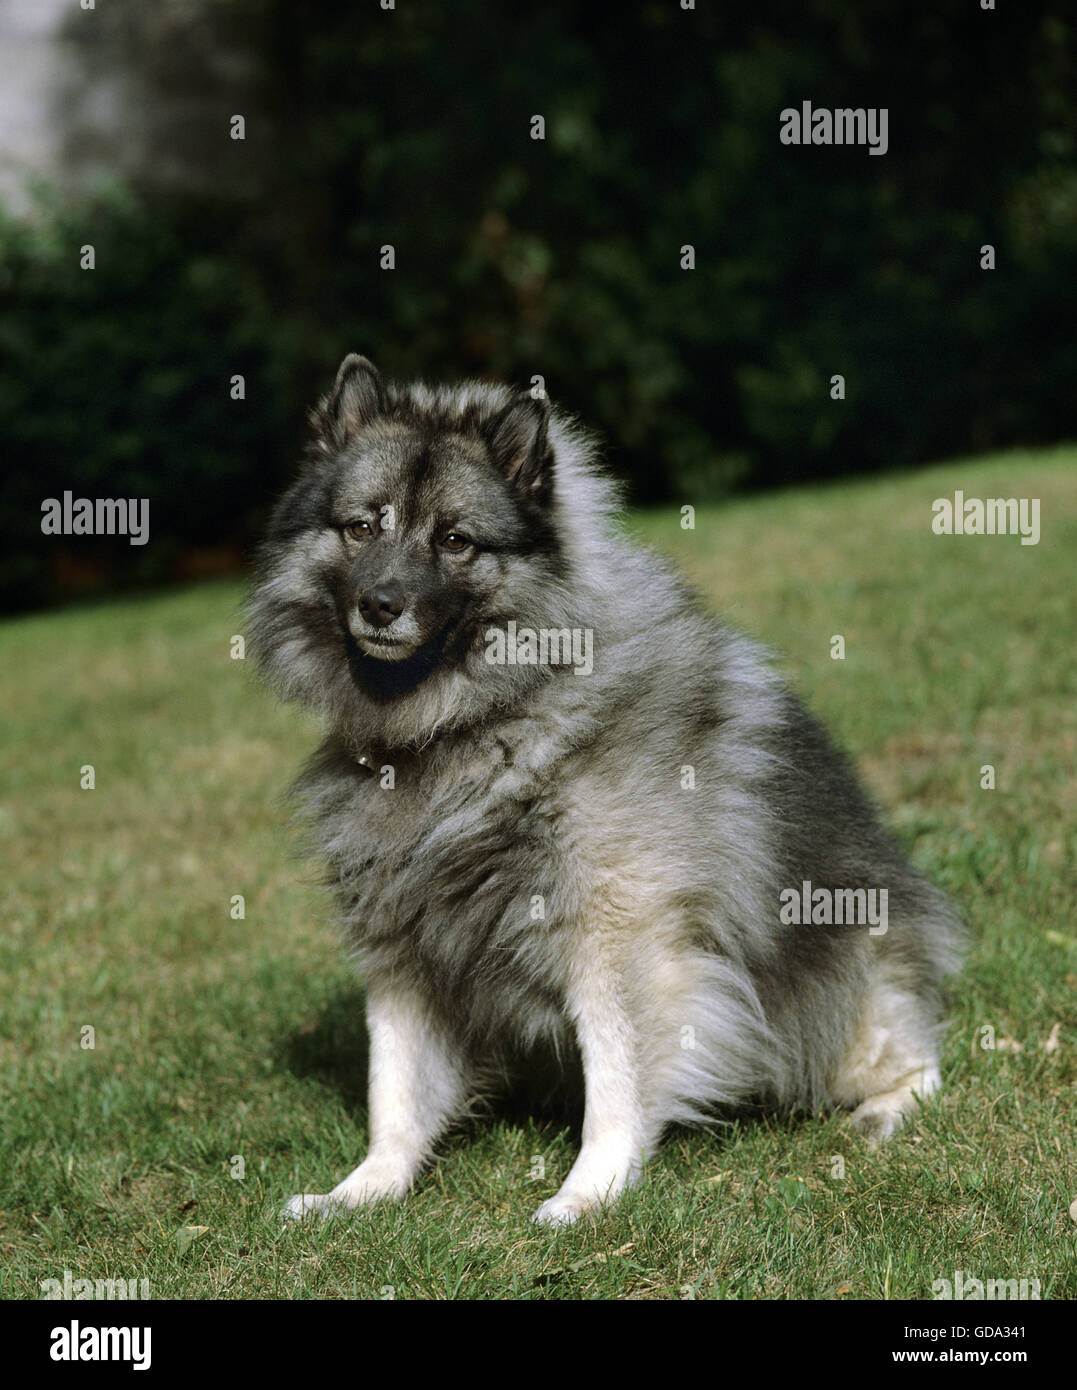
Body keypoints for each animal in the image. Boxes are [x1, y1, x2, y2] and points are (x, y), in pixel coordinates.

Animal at [248, 354, 963, 1226]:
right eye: (360, 527)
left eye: (454, 540)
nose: (380, 605)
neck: (481, 719)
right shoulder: (402, 949)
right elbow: (396, 1093)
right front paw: (363, 1192)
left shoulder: (617, 939)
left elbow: (617, 1080)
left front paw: (588, 1194)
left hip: (849, 987)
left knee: (917, 1063)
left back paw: (883, 1113)